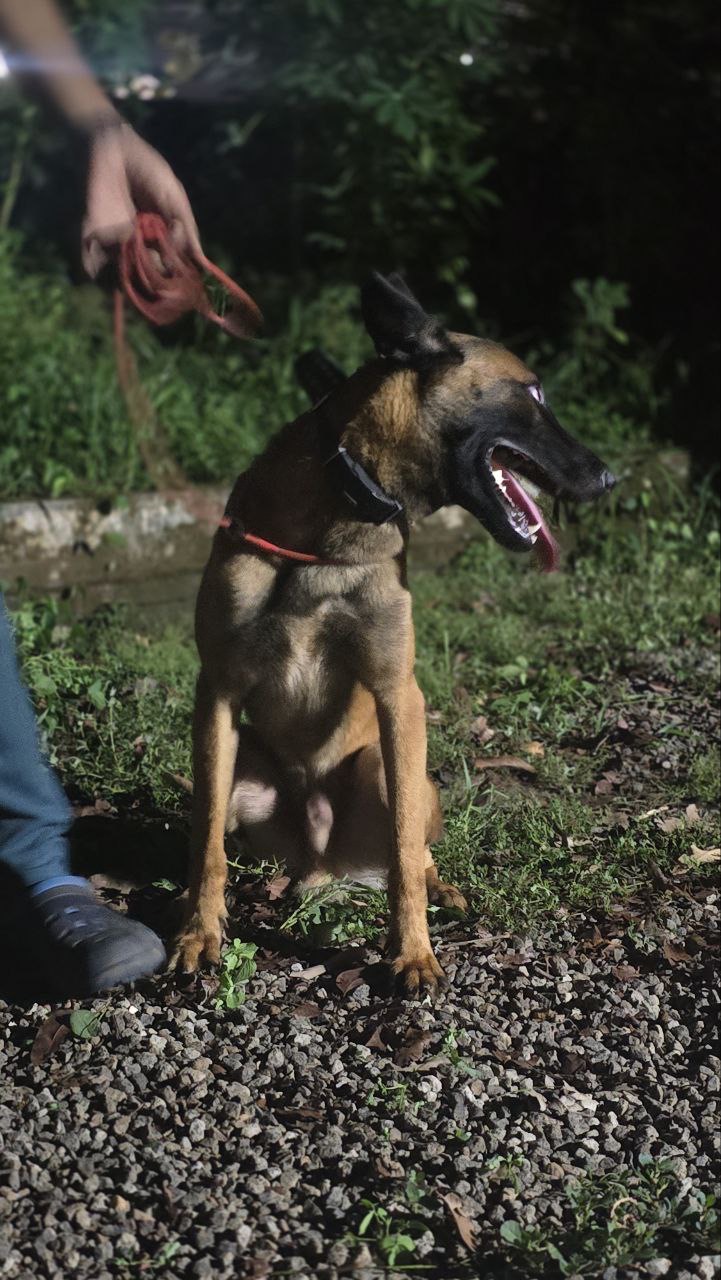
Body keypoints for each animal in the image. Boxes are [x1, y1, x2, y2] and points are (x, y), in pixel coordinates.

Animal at [173, 272, 615, 996]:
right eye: (532, 392)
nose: (608, 478)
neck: (335, 526)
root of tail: (324, 858)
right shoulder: (217, 694)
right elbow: (204, 839)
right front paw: (197, 932)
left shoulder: (396, 694)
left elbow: (405, 846)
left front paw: (412, 952)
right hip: (246, 776)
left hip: (383, 765)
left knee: (416, 846)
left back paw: (441, 891)